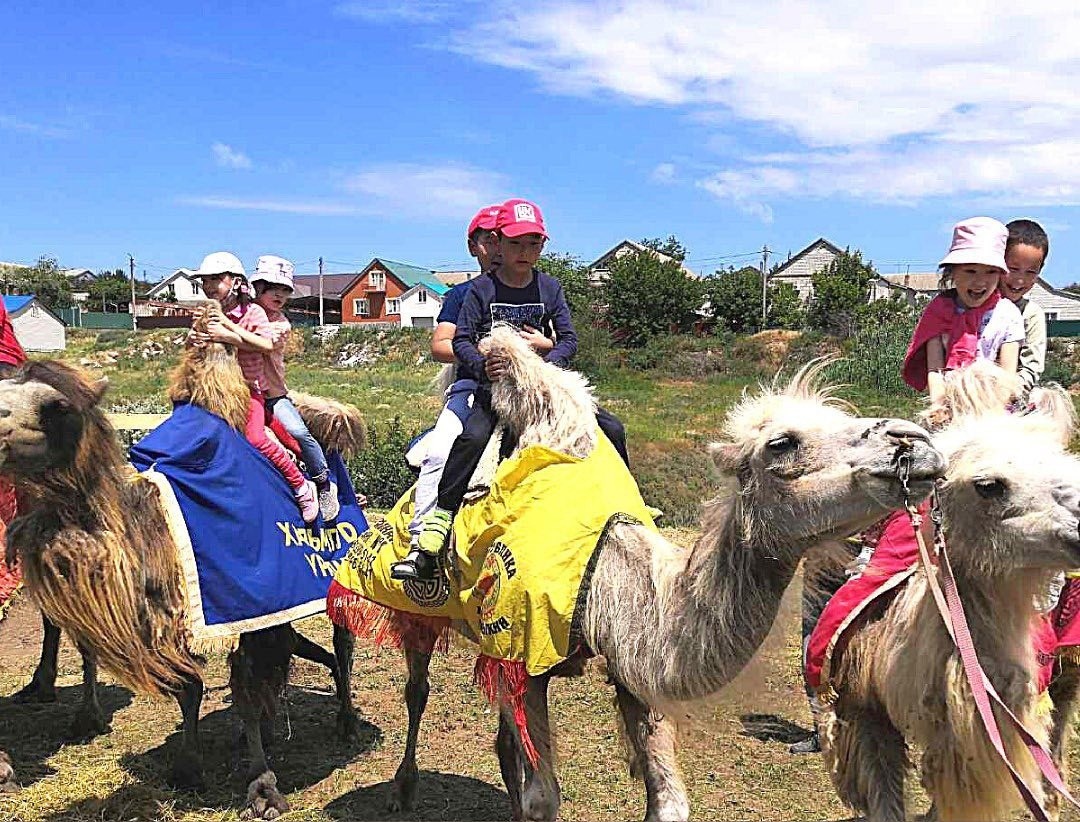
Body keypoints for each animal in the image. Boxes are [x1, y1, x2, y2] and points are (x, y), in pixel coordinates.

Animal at [0, 317, 367, 816]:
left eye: (56, 405)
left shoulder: (236, 607)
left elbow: (244, 687)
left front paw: (263, 789)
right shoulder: (173, 615)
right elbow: (189, 687)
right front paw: (189, 768)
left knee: (340, 643)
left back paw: (346, 719)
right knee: (292, 650)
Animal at [347, 326, 946, 820]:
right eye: (782, 443)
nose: (914, 443)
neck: (601, 568)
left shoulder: (622, 659)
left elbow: (667, 798)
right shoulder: (528, 643)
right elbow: (544, 797)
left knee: (501, 735)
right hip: (416, 607)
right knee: (418, 687)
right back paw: (402, 787)